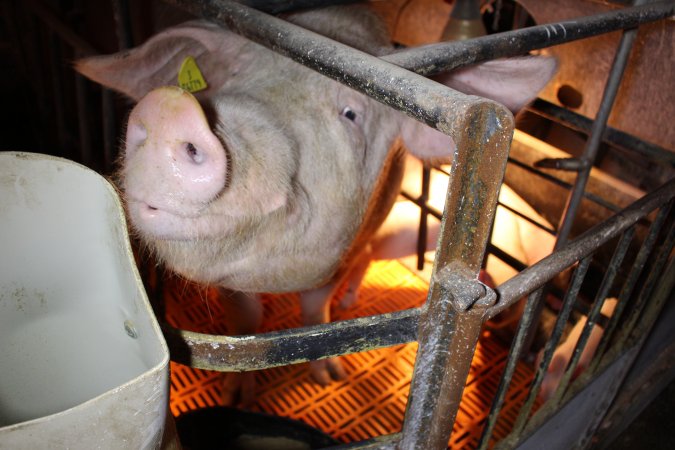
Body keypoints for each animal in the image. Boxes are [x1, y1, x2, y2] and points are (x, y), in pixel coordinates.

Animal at [76, 4, 556, 390]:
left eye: (351, 114)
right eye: (229, 79)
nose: (170, 109)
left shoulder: (346, 246)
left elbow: (315, 308)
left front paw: (329, 377)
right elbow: (246, 322)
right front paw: (237, 393)